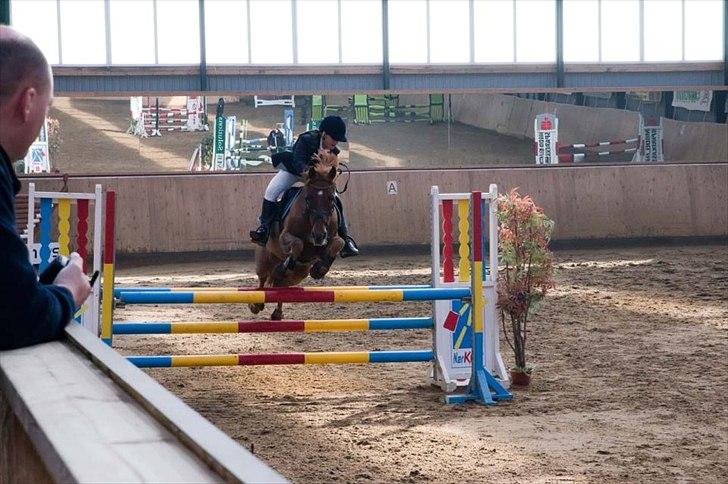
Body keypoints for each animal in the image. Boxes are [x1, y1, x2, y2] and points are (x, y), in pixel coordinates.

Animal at [249, 159, 344, 320]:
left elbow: (339, 243)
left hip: (299, 273)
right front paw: (286, 265)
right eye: (308, 199)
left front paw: (319, 269)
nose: (319, 235)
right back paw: (256, 304)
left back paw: (277, 313)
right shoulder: (284, 237)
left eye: (331, 198)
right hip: (265, 259)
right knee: (263, 279)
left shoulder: (327, 240)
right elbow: (297, 243)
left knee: (281, 285)